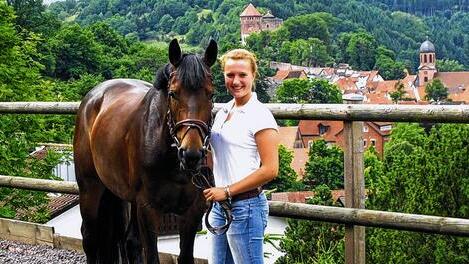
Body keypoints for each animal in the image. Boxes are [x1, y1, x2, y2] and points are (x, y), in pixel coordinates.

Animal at [72, 39, 218, 264]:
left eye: (211, 94)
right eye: (173, 93)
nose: (191, 154)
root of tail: (92, 98)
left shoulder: (193, 211)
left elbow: (185, 256)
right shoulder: (148, 209)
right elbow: (152, 256)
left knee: (129, 241)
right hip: (90, 188)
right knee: (89, 237)